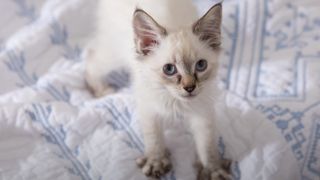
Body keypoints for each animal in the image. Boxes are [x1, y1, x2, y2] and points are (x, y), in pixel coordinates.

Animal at [85, 0, 230, 179]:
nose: (190, 87)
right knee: (91, 57)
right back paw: (100, 90)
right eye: (169, 69)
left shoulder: (202, 112)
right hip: (112, 54)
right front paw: (156, 161)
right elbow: (154, 138)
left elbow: (207, 145)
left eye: (201, 65)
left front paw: (213, 169)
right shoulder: (149, 109)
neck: (175, 101)